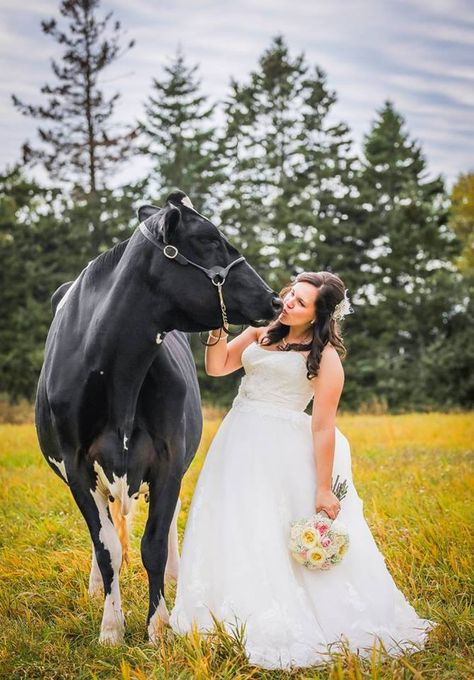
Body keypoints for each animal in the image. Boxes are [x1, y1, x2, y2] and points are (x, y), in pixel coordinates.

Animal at [37, 190, 284, 644]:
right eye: (208, 238)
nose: (275, 299)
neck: (118, 375)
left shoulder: (168, 459)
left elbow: (152, 544)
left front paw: (160, 626)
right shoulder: (76, 465)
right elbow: (108, 549)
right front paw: (111, 628)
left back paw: (173, 576)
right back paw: (95, 588)